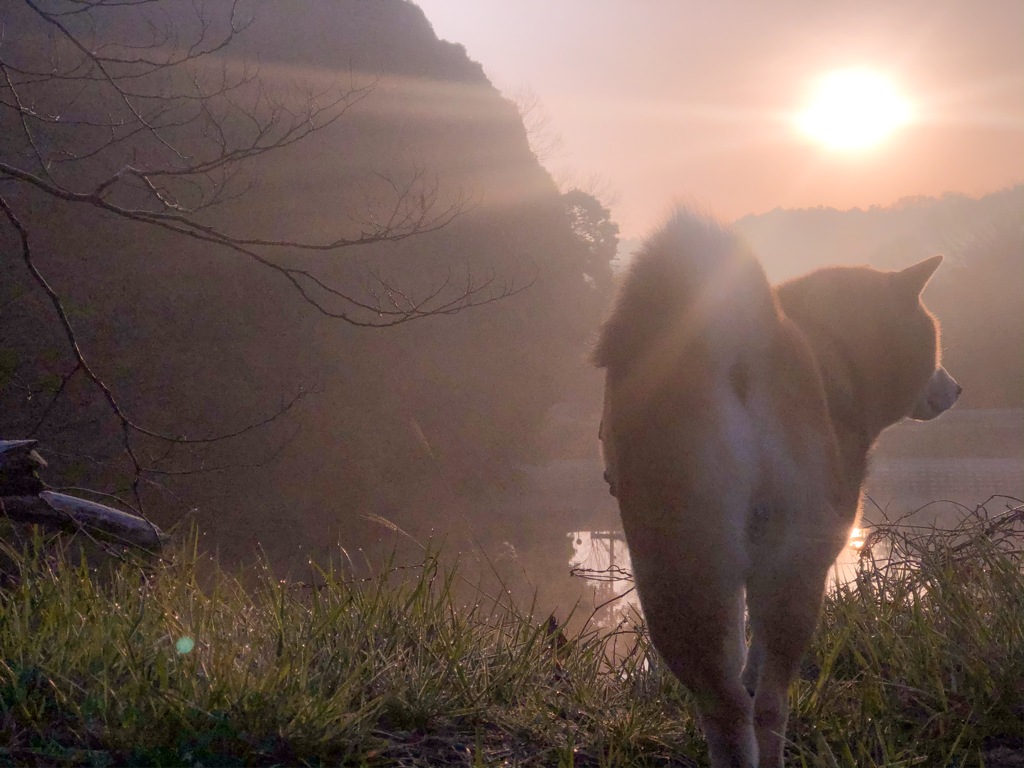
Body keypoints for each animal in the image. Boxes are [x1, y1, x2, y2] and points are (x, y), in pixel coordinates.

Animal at [593, 210, 958, 768]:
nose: (957, 388)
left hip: (678, 564)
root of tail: (739, 342)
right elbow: (761, 660)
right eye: (936, 339)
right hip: (792, 566)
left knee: (724, 704)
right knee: (770, 704)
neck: (834, 351)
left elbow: (746, 655)